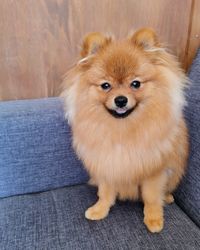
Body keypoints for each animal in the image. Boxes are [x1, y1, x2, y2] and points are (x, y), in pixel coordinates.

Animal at [61, 28, 188, 233]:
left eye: (135, 84)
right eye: (105, 85)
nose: (121, 100)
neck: (123, 129)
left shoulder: (154, 170)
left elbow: (152, 197)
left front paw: (154, 218)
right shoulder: (107, 163)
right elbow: (105, 192)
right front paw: (100, 209)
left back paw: (167, 197)